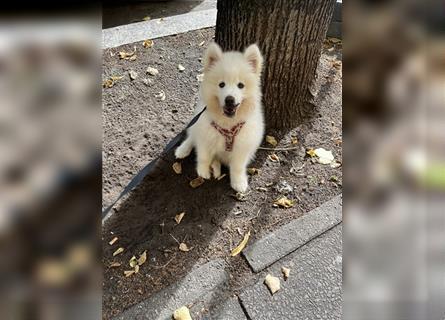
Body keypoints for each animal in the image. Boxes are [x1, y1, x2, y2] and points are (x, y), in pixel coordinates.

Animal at [174, 42, 264, 192]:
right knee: (191, 137)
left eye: (241, 85)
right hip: (197, 123)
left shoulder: (243, 145)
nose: (230, 99)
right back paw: (183, 150)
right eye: (221, 84)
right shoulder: (205, 135)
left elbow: (237, 167)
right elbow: (203, 156)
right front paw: (203, 171)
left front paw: (239, 182)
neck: (227, 124)